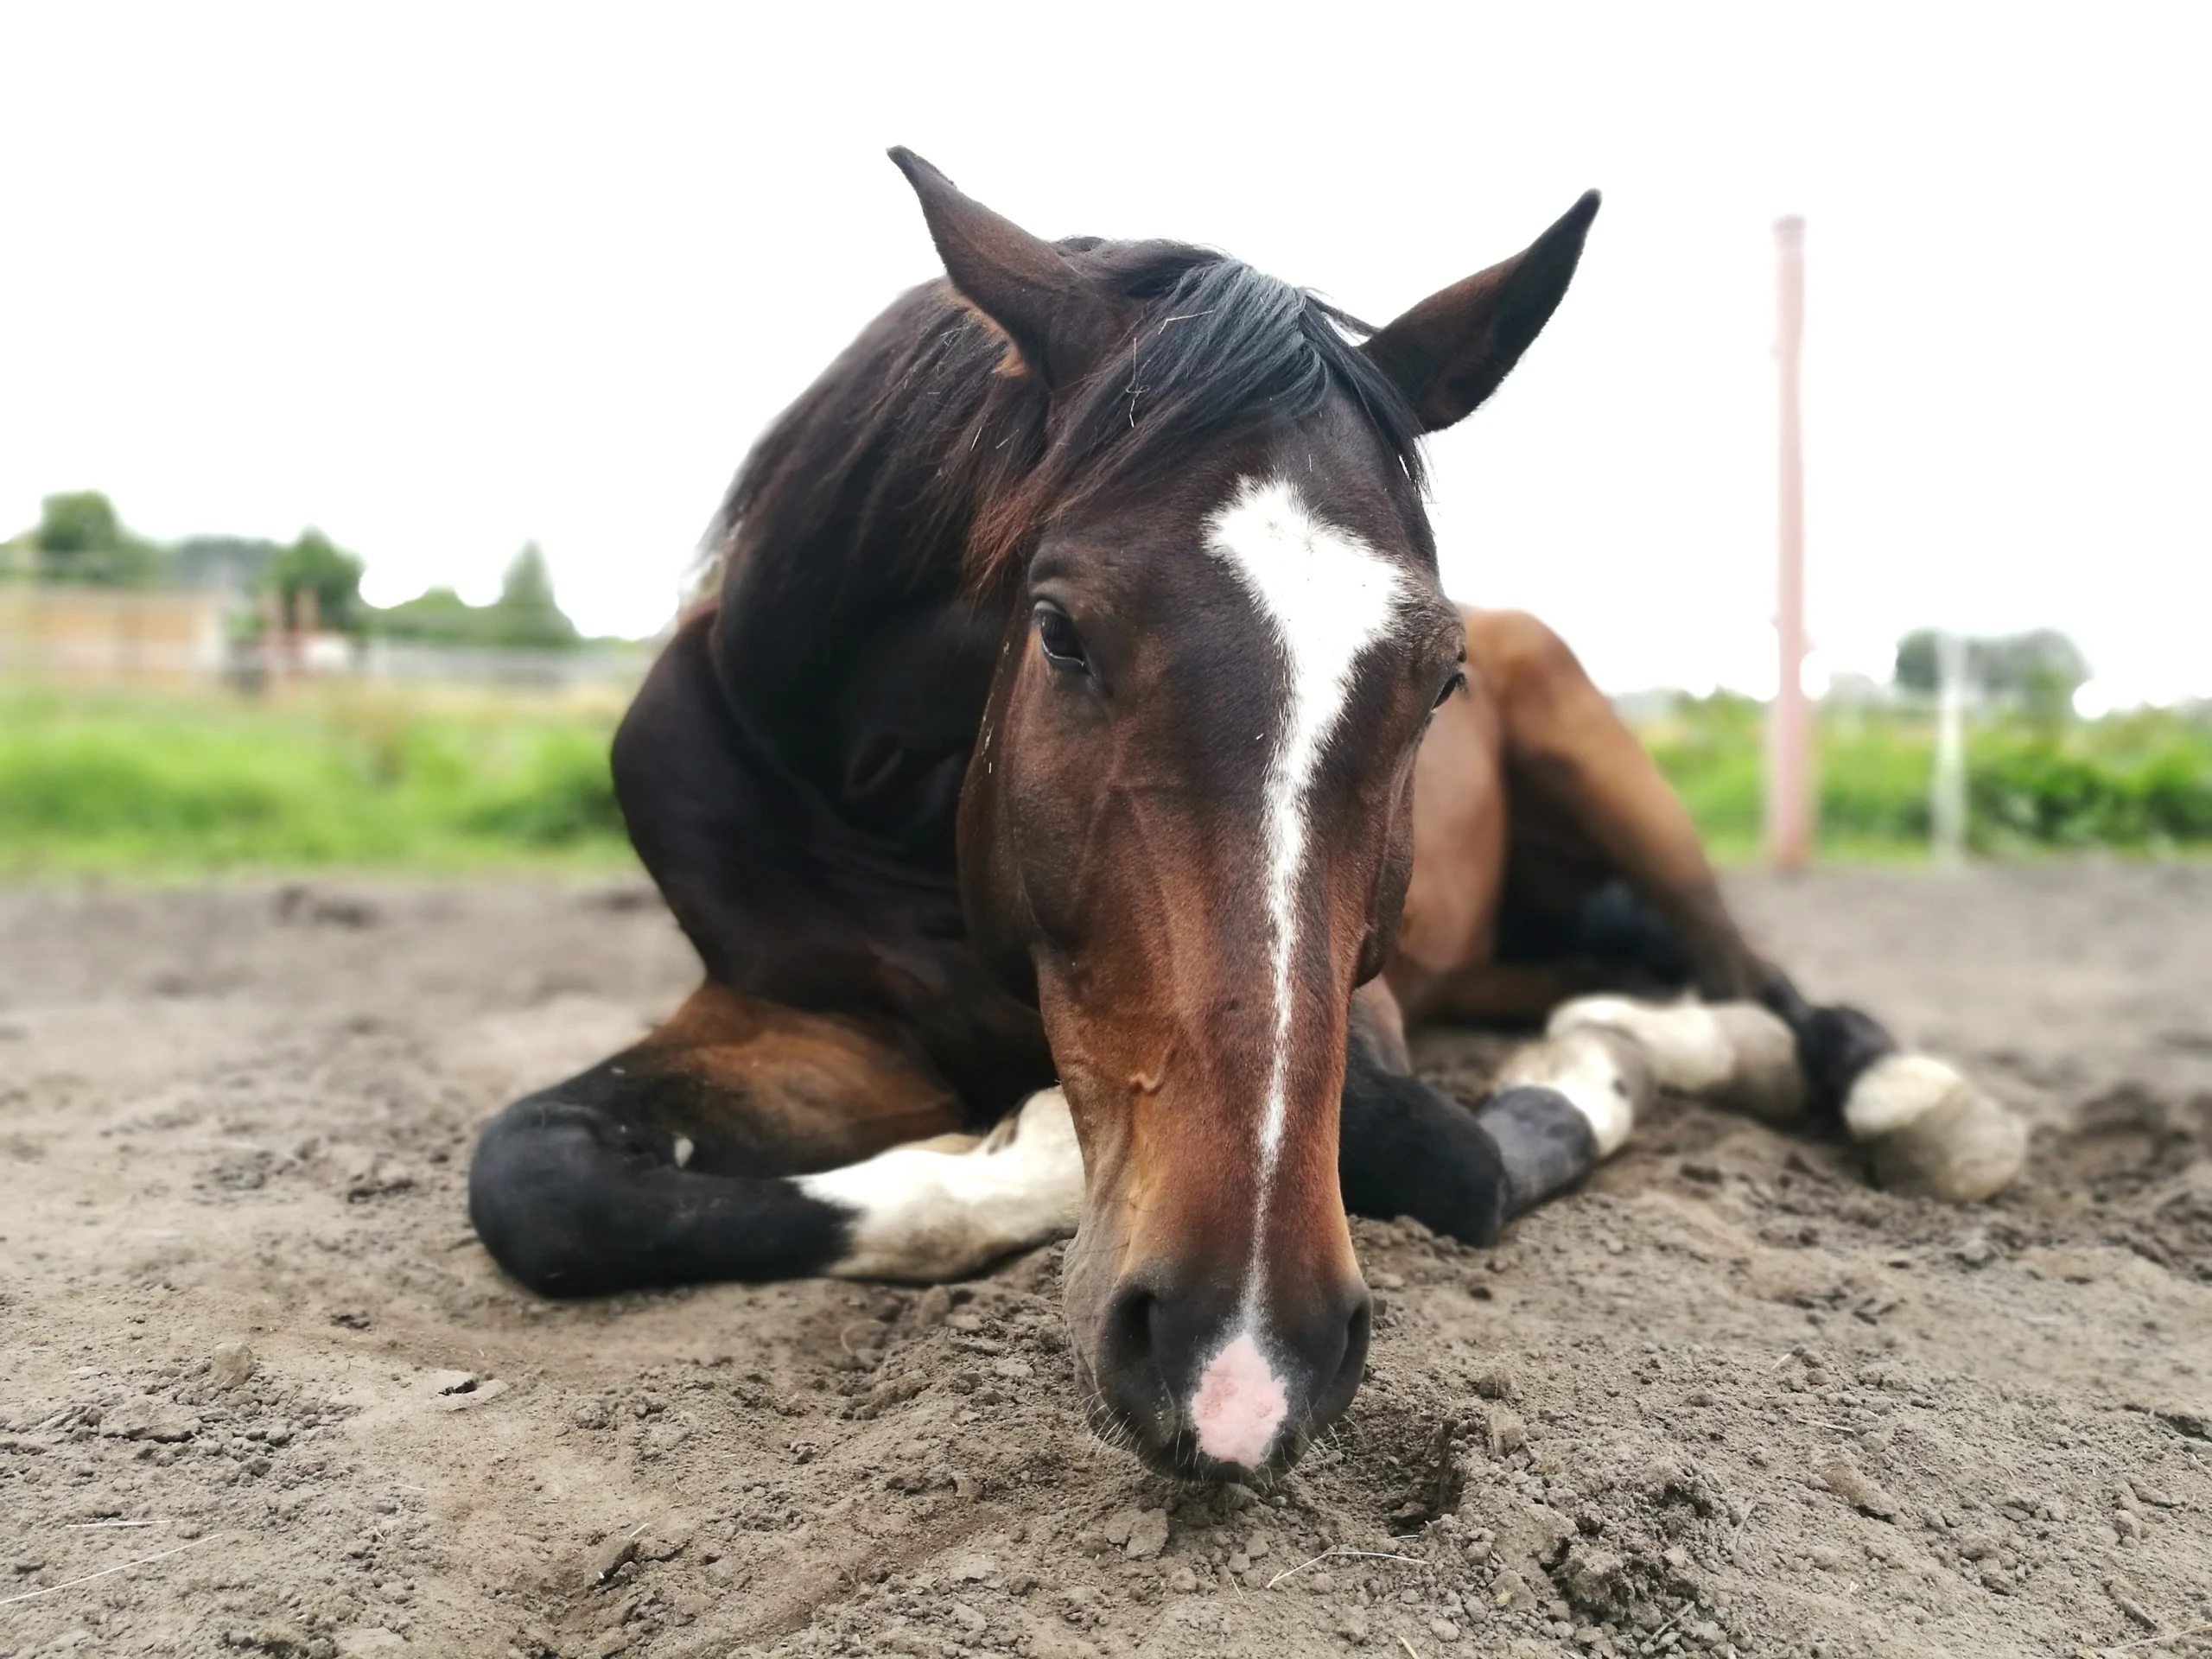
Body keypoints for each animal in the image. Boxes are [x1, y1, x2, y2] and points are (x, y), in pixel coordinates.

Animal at [468, 151, 2025, 1481]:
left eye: (1438, 674)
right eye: (1059, 629)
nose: (1238, 1363)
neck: (881, 811)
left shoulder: (1362, 1012)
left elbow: (1452, 1157)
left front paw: (1040, 1141)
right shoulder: (803, 1022)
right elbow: (540, 1183)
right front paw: (1017, 1150)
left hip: (1620, 786)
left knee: (1751, 969)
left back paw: (1888, 1090)